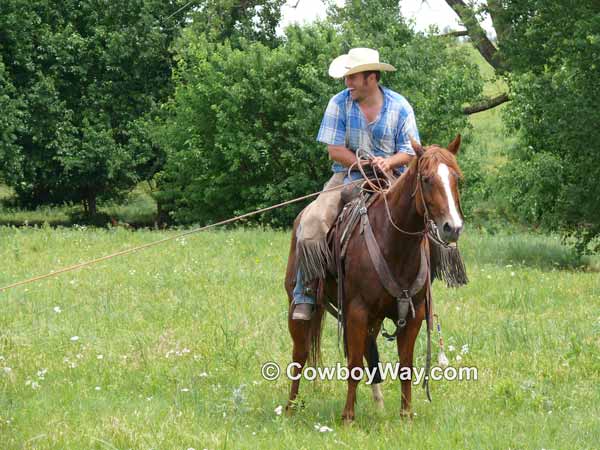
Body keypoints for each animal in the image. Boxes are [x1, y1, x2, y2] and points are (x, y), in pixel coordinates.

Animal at [284, 135, 466, 424]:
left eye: (456, 178)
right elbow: (354, 365)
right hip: (300, 303)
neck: (395, 244)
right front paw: (348, 417)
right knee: (300, 353)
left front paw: (406, 415)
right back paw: (291, 406)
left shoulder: (413, 315)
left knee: (368, 350)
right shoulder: (357, 311)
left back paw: (378, 402)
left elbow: (405, 366)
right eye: (426, 179)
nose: (453, 227)